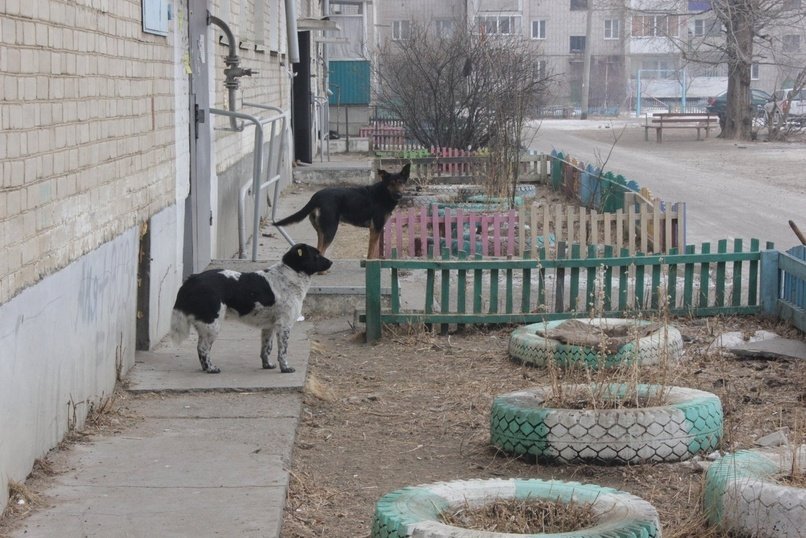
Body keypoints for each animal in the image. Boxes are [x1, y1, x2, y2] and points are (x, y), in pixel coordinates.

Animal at [170, 243, 334, 372]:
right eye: (316, 255)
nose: (331, 262)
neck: (291, 273)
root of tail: (193, 279)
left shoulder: (269, 326)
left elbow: (266, 349)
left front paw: (267, 365)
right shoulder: (284, 326)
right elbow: (283, 352)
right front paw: (285, 368)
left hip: (206, 326)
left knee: (201, 348)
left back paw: (206, 368)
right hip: (212, 325)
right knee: (203, 349)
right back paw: (211, 368)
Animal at [274, 162, 410, 256]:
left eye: (401, 182)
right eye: (391, 183)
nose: (399, 195)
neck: (384, 193)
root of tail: (316, 197)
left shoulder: (376, 229)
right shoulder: (375, 228)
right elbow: (371, 252)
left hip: (321, 231)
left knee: (319, 249)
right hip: (331, 229)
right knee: (322, 250)